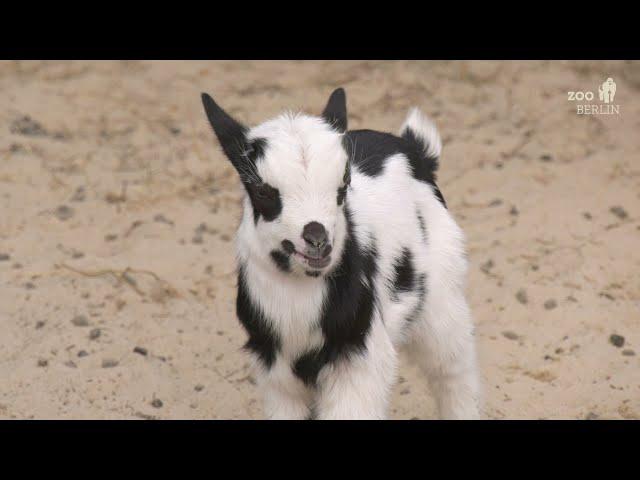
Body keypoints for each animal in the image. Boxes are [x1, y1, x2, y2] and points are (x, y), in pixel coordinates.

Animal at [202, 88, 478, 418]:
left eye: (343, 185)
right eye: (262, 191)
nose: (317, 239)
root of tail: (415, 148)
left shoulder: (359, 359)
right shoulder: (276, 372)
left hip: (441, 291)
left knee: (453, 370)